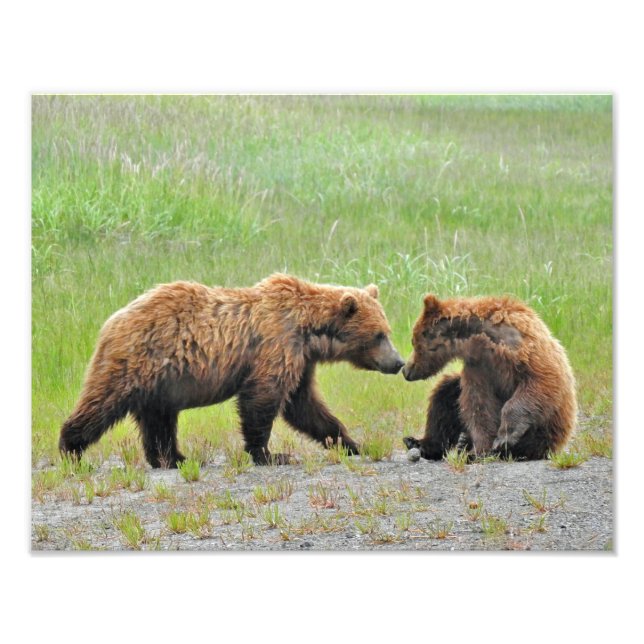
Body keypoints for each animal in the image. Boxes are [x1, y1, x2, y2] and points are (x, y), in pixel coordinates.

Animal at [59, 274, 405, 468]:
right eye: (379, 335)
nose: (399, 362)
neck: (309, 330)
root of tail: (113, 320)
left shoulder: (301, 359)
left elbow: (305, 406)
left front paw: (351, 443)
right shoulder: (276, 344)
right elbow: (263, 399)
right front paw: (270, 454)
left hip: (162, 381)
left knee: (158, 418)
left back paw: (173, 459)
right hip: (138, 360)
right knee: (103, 402)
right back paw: (71, 449)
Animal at [402, 293, 577, 460]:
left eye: (413, 341)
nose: (406, 370)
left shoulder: (524, 348)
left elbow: (542, 380)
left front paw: (504, 438)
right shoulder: (479, 367)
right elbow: (479, 406)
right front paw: (480, 450)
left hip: (547, 431)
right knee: (444, 395)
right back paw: (422, 442)